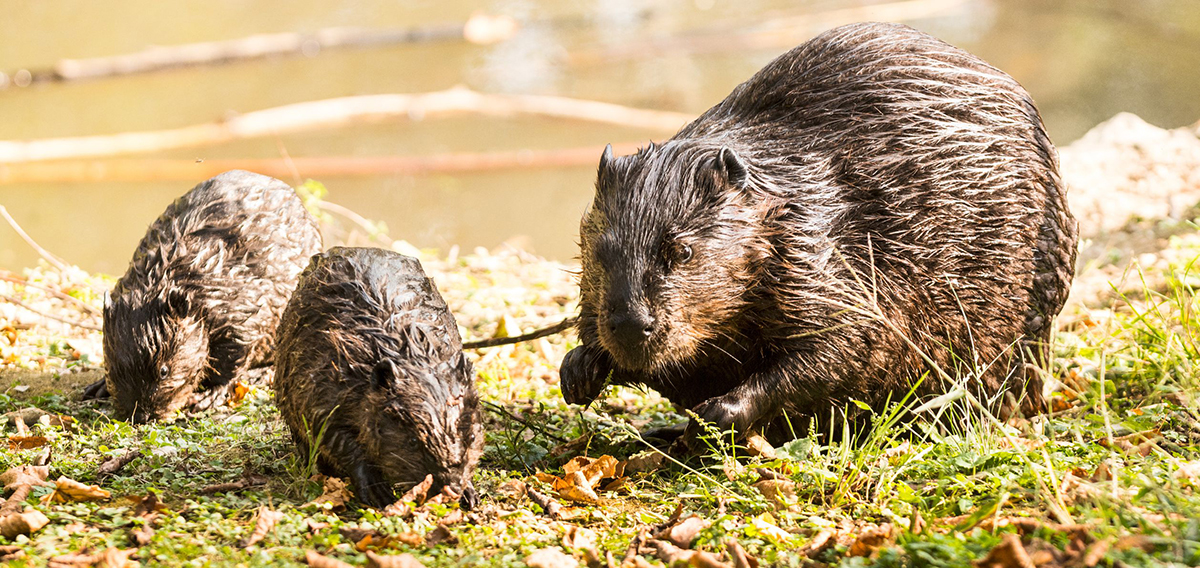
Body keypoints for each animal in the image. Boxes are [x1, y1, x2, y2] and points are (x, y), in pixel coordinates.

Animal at [90, 170, 324, 422]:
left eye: (163, 371)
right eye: (114, 368)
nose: (141, 416)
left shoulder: (241, 308)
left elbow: (235, 356)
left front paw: (207, 398)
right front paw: (98, 386)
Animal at [274, 246, 484, 506]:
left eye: (472, 436)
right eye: (413, 441)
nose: (451, 487)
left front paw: (469, 493)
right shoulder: (324, 381)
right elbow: (331, 432)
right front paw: (378, 492)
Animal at [559, 21, 1080, 439]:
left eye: (682, 251)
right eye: (601, 251)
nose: (632, 325)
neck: (786, 196)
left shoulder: (830, 258)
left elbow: (845, 343)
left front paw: (720, 412)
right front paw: (579, 369)